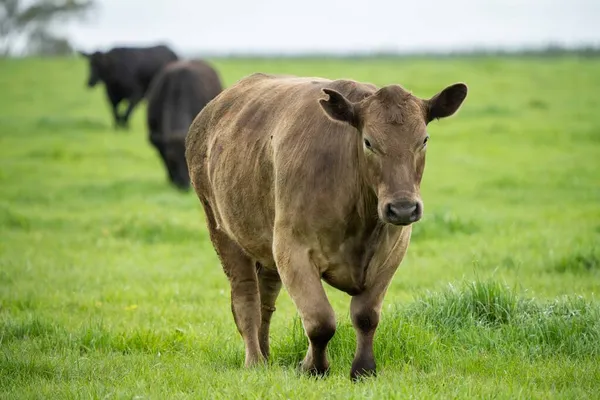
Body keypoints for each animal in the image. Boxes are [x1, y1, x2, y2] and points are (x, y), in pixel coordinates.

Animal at [185, 72, 466, 382]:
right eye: (368, 142)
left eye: (424, 140)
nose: (403, 207)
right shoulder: (292, 250)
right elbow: (320, 320)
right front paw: (313, 367)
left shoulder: (392, 252)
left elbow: (366, 316)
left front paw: (363, 369)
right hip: (222, 230)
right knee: (246, 299)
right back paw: (255, 361)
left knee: (266, 300)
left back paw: (266, 354)